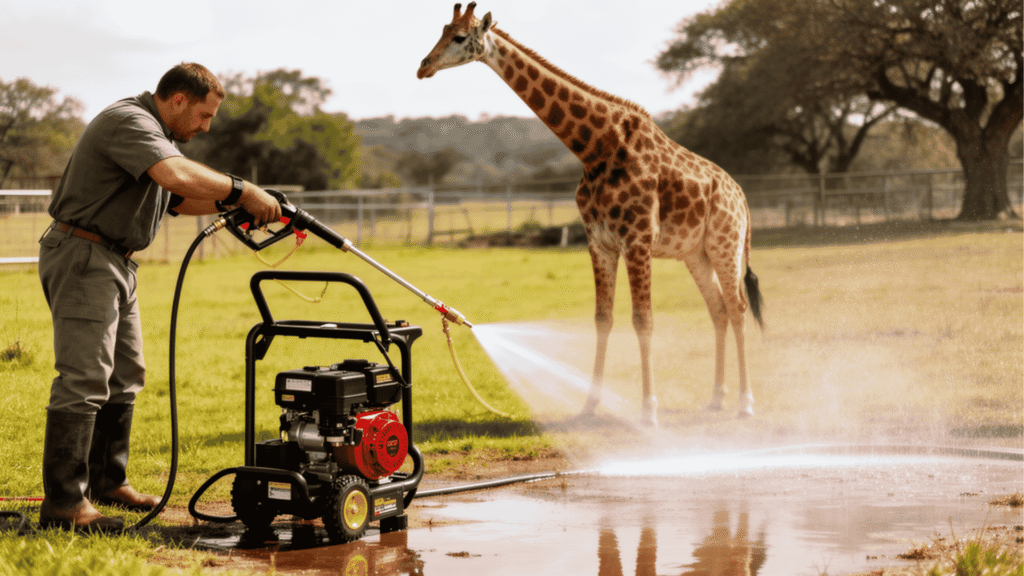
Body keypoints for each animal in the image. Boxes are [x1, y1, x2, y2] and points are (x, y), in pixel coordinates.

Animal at [418, 3, 764, 425]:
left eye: (460, 36)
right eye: (441, 30)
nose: (423, 66)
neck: (595, 147)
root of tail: (741, 197)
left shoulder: (637, 239)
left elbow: (643, 320)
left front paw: (649, 411)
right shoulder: (599, 242)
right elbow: (603, 319)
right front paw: (589, 405)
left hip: (725, 244)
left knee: (738, 308)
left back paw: (745, 404)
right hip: (695, 253)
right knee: (718, 311)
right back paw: (716, 399)